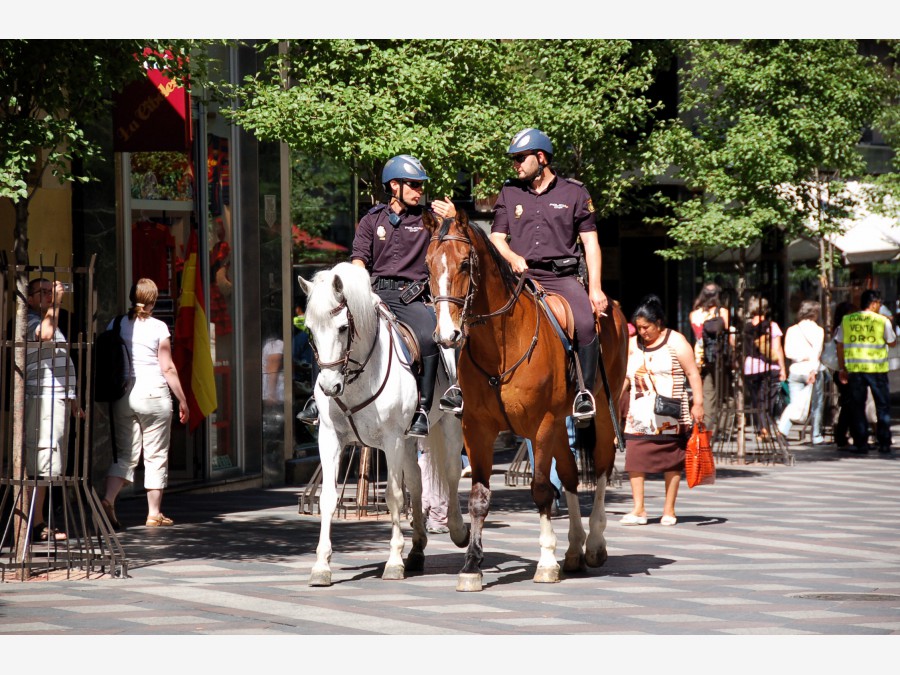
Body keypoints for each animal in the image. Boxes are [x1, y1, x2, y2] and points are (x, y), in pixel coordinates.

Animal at [298, 262, 468, 588]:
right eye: (310, 330)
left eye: (343, 327)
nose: (328, 387)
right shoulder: (329, 438)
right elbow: (328, 497)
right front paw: (321, 566)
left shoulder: (392, 440)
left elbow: (394, 496)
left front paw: (393, 563)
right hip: (411, 439)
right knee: (417, 481)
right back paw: (416, 550)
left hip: (448, 424)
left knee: (452, 473)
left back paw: (457, 531)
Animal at [424, 210, 624, 592]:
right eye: (428, 264)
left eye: (464, 264)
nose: (446, 335)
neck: (501, 344)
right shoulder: (478, 429)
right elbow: (479, 497)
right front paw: (472, 565)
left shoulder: (540, 425)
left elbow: (542, 490)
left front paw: (545, 562)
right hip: (560, 425)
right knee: (571, 474)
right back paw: (574, 549)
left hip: (602, 413)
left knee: (602, 468)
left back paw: (594, 544)